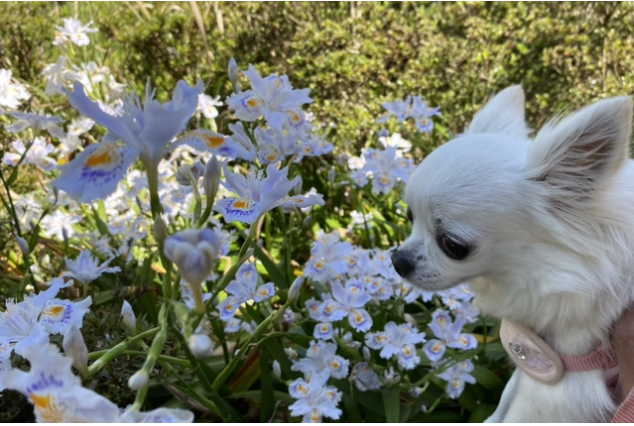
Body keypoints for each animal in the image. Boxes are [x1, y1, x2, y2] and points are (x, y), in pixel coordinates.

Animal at [390, 87, 632, 422]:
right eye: (409, 215)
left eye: (453, 245)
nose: (397, 261)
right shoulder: (536, 359)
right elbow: (506, 397)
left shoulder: (561, 384)